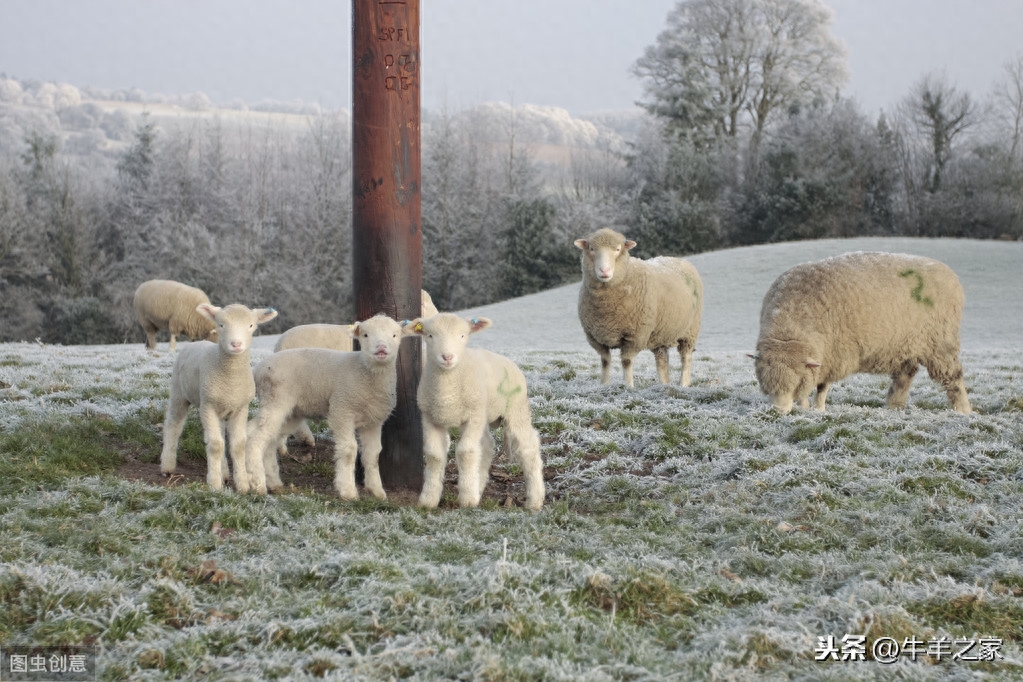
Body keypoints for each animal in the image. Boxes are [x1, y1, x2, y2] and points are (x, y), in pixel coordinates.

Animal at [160, 302, 280, 490]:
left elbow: (238, 446)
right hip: (179, 393)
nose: (236, 344)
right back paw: (167, 466)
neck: (230, 379)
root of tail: (195, 343)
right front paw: (215, 485)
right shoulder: (208, 406)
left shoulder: (240, 408)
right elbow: (215, 445)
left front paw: (243, 485)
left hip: (221, 408)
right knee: (174, 425)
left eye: (251, 325)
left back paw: (224, 472)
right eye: (221, 325)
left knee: (220, 434)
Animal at [246, 312, 403, 498]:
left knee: (267, 439)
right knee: (255, 439)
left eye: (395, 335)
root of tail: (258, 369)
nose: (381, 348)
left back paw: (274, 482)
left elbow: (373, 455)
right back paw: (257, 483)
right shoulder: (342, 409)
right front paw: (348, 491)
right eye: (365, 335)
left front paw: (377, 491)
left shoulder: (373, 421)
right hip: (275, 400)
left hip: (289, 412)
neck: (365, 371)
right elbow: (349, 450)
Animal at [407, 314, 548, 511]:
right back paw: (478, 488)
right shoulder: (430, 418)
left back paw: (534, 500)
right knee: (487, 446)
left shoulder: (473, 417)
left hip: (516, 409)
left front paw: (466, 499)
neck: (447, 392)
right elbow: (434, 456)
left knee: (528, 448)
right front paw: (428, 500)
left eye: (463, 335)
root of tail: (509, 362)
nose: (447, 357)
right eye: (430, 335)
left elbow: (465, 452)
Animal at [576, 229, 703, 388]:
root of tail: (677, 259)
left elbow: (626, 362)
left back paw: (683, 384)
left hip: (690, 331)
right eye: (592, 249)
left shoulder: (634, 336)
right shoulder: (596, 338)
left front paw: (628, 386)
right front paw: (603, 385)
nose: (604, 270)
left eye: (618, 249)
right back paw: (664, 385)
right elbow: (605, 361)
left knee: (686, 358)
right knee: (662, 360)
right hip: (660, 334)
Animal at [757, 249, 969, 417]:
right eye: (765, 383)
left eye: (794, 382)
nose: (778, 412)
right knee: (905, 376)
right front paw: (805, 407)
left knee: (953, 377)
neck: (788, 326)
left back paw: (963, 410)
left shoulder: (834, 356)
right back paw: (893, 407)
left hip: (940, 342)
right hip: (905, 345)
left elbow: (822, 386)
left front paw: (818, 409)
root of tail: (951, 275)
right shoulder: (820, 359)